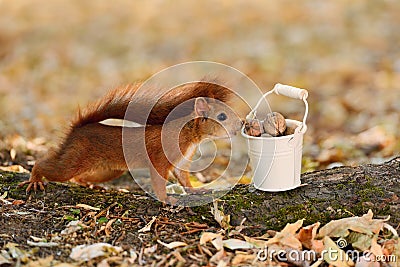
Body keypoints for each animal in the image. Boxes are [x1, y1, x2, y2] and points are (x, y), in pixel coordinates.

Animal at [18, 81, 242, 203]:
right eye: (222, 116)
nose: (241, 123)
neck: (188, 135)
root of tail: (78, 129)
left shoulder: (181, 161)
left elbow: (183, 178)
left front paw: (197, 189)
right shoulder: (161, 156)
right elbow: (159, 178)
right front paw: (166, 199)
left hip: (109, 170)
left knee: (80, 177)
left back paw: (91, 184)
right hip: (74, 160)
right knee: (49, 164)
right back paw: (35, 178)